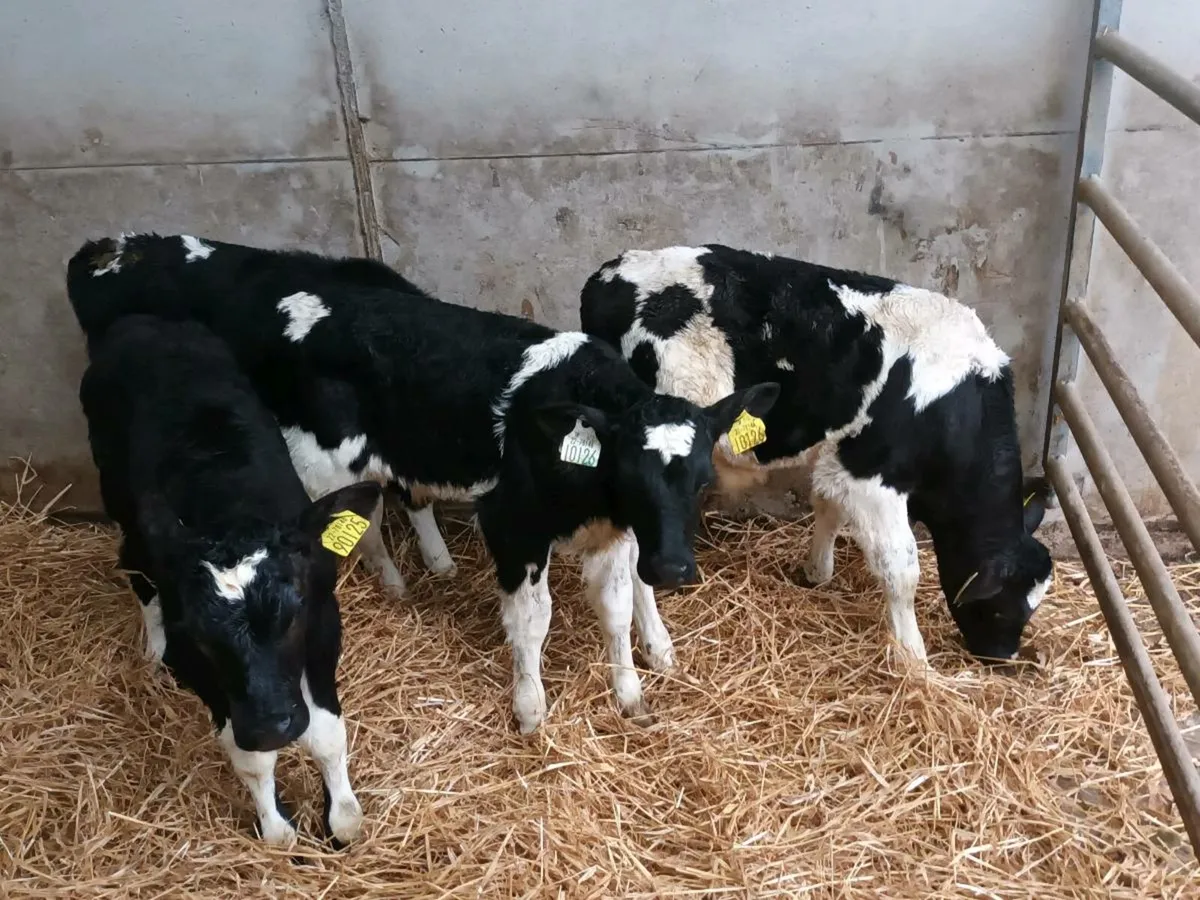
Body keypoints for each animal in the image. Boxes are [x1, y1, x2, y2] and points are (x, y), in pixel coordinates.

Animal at [66, 234, 780, 733]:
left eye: (699, 476)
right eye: (628, 469)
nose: (675, 568)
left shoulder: (610, 534)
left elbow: (615, 607)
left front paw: (630, 693)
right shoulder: (513, 525)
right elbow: (533, 620)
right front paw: (530, 709)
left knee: (375, 513)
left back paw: (401, 578)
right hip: (309, 461)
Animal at [75, 313, 382, 846]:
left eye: (293, 611)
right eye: (199, 634)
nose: (272, 725)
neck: (227, 505)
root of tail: (142, 322)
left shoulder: (325, 621)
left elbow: (326, 734)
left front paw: (342, 819)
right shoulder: (197, 663)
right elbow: (251, 759)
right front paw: (278, 831)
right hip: (121, 501)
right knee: (134, 564)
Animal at [580, 244, 1053, 664]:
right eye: (1001, 607)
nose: (1002, 656)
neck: (953, 401)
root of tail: (607, 273)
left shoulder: (839, 456)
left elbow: (828, 507)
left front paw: (817, 572)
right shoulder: (872, 477)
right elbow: (902, 570)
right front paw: (914, 658)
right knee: (633, 563)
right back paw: (658, 647)